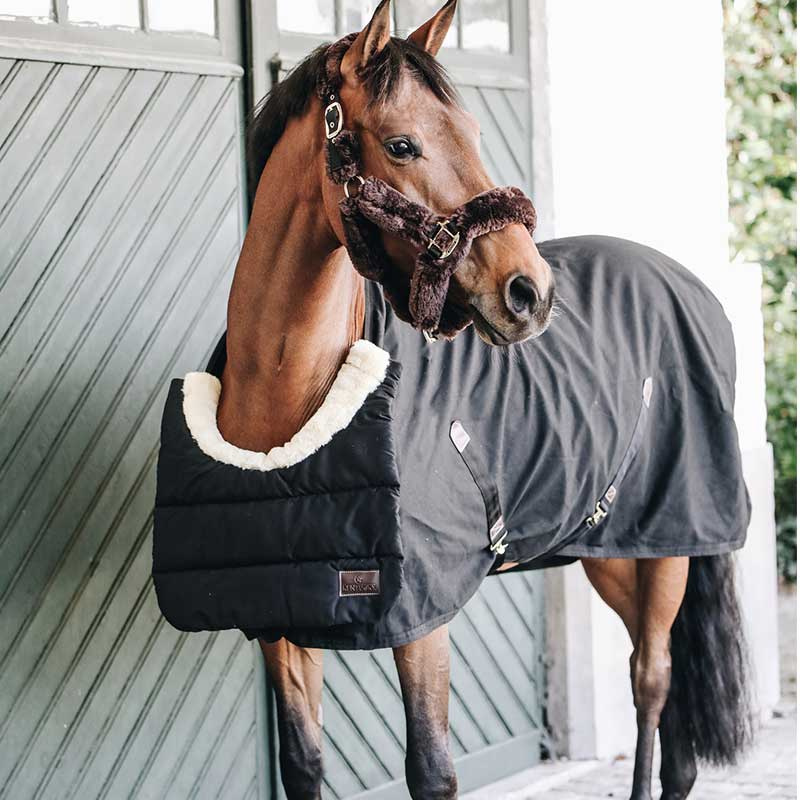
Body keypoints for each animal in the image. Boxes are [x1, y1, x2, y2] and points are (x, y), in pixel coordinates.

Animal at [153, 2, 753, 797]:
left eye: (470, 131)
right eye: (402, 144)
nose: (530, 293)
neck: (291, 396)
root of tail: (686, 282)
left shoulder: (424, 618)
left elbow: (432, 769)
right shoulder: (283, 618)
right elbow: (302, 763)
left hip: (672, 544)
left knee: (652, 677)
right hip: (609, 546)